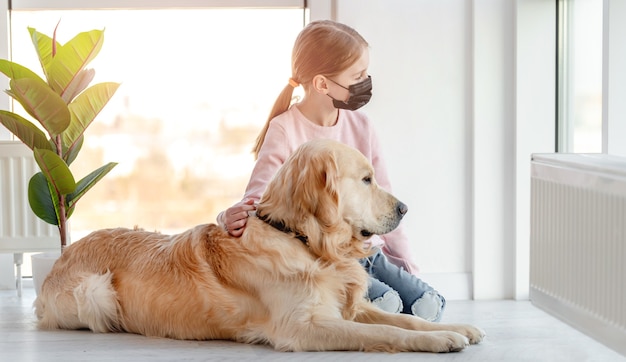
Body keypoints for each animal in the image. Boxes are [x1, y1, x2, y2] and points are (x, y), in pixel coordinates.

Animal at [34, 139, 482, 354]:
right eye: (367, 179)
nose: (405, 208)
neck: (302, 241)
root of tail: (61, 256)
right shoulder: (303, 327)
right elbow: (383, 332)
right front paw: (440, 341)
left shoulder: (346, 305)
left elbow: (405, 320)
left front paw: (454, 328)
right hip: (96, 293)